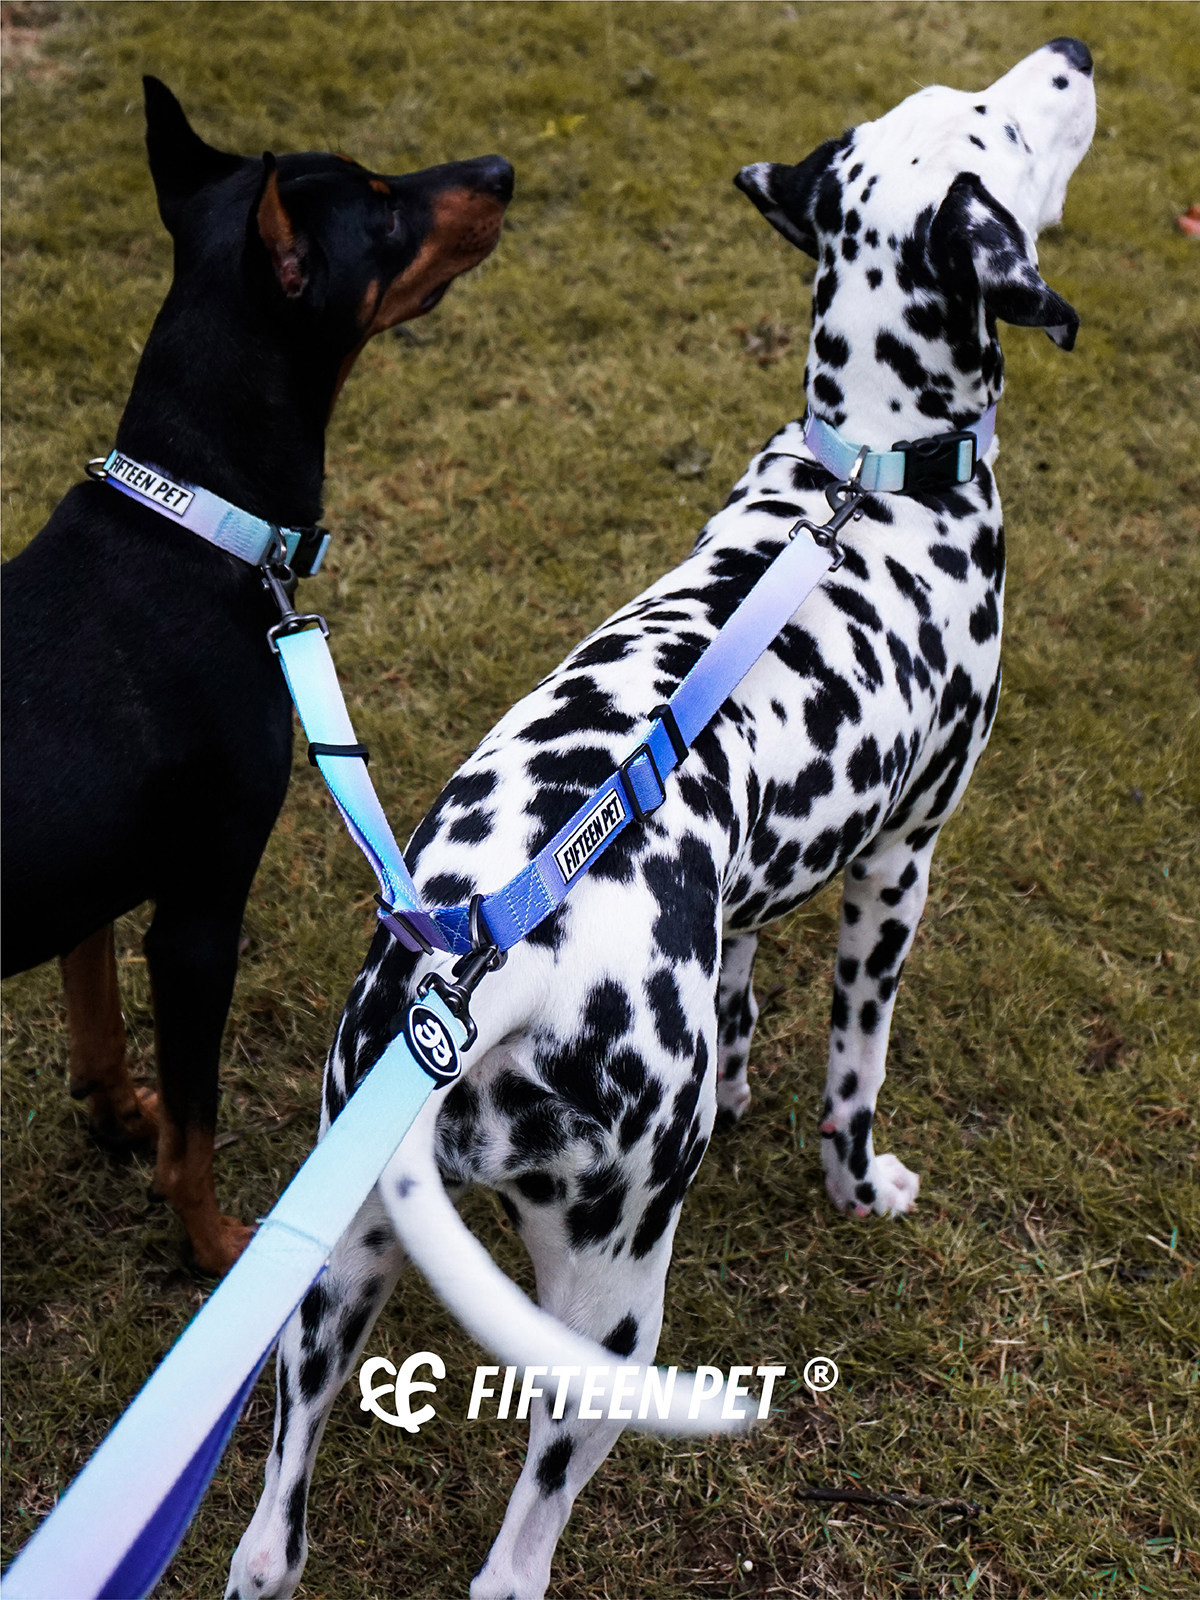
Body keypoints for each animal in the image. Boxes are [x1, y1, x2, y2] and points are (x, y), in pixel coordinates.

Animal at [0, 79, 512, 1275]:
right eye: (383, 212)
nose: (504, 171)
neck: (201, 521)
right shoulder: (201, 907)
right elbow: (197, 1121)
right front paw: (217, 1245)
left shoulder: (98, 882)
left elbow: (97, 1018)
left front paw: (116, 1116)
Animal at [228, 39, 1095, 1599]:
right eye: (999, 121)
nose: (1076, 52)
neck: (869, 476)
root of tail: (497, 981)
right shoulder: (900, 866)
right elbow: (854, 1077)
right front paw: (861, 1188)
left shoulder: (752, 896)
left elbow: (745, 1005)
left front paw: (739, 1085)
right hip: (606, 1318)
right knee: (515, 1558)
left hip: (330, 1289)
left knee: (270, 1541)